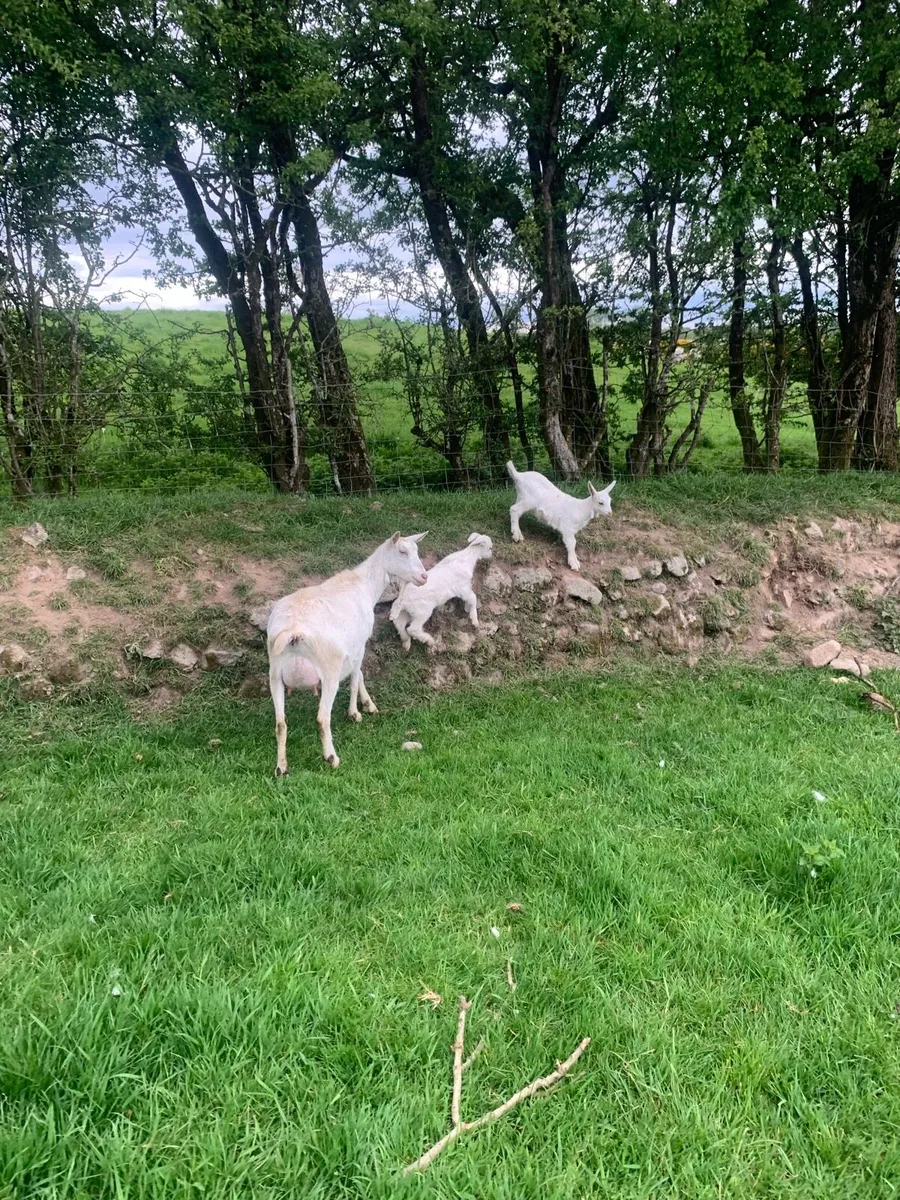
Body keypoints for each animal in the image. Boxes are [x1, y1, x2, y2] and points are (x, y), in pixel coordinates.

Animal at [267, 532, 427, 774]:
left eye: (417, 550)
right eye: (402, 551)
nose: (424, 576)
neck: (363, 585)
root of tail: (292, 632)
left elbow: (357, 674)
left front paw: (367, 705)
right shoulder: (359, 644)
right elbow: (355, 677)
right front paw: (357, 712)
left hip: (275, 674)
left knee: (280, 723)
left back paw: (281, 767)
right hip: (329, 670)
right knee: (322, 718)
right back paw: (331, 757)